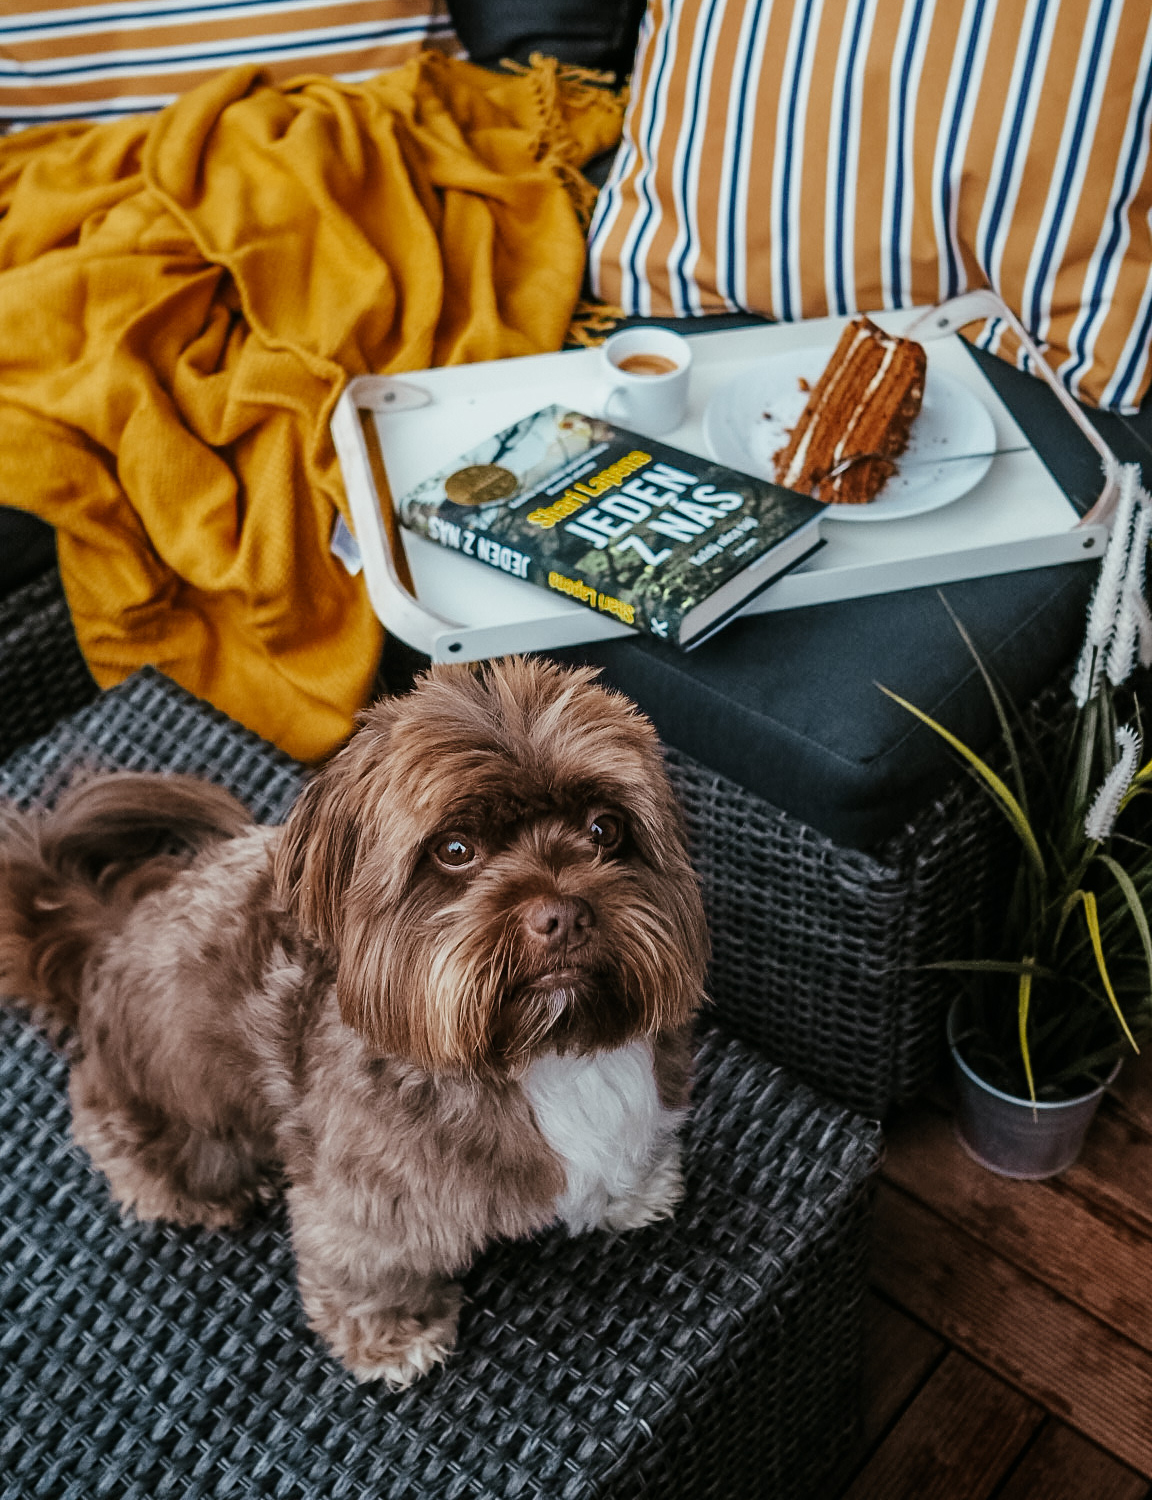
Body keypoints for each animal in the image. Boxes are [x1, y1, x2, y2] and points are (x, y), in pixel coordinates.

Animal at [0, 658, 708, 1385]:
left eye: (604, 829)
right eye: (456, 849)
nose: (563, 913)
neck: (539, 1053)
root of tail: (106, 934)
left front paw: (634, 1191)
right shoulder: (368, 1195)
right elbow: (368, 1261)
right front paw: (393, 1334)